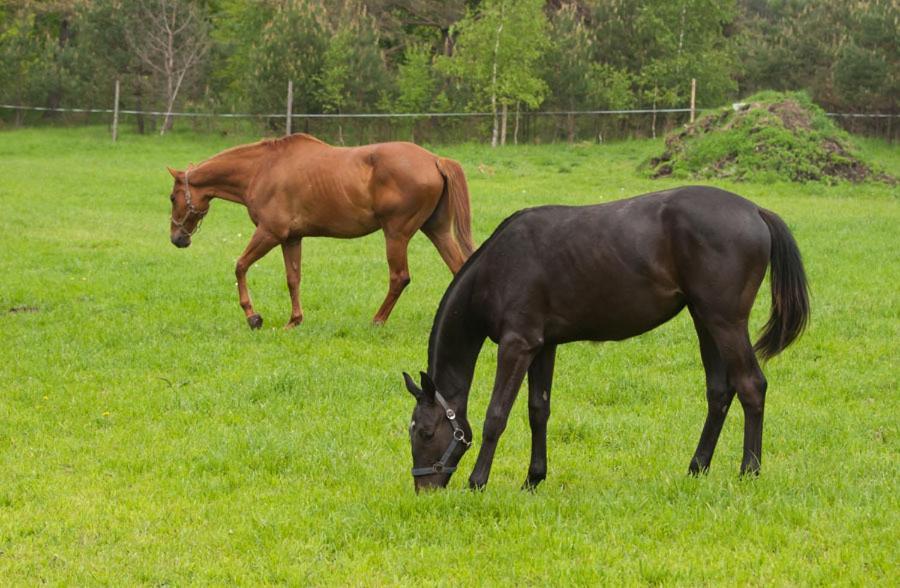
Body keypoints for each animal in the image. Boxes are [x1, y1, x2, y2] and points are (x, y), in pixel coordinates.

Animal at [171, 132, 478, 326]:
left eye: (172, 198)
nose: (177, 239)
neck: (263, 169)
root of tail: (435, 159)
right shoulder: (291, 238)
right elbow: (293, 278)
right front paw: (294, 320)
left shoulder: (269, 233)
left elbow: (240, 266)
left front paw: (253, 317)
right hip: (437, 231)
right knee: (457, 269)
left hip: (396, 235)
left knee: (399, 277)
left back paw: (377, 320)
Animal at [402, 187, 808, 492]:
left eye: (425, 432)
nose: (424, 488)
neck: (498, 267)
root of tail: (755, 210)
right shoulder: (543, 346)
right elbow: (538, 411)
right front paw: (534, 479)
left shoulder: (517, 345)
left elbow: (496, 415)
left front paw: (478, 481)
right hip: (704, 319)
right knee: (720, 392)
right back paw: (697, 467)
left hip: (725, 322)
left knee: (751, 385)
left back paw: (749, 471)